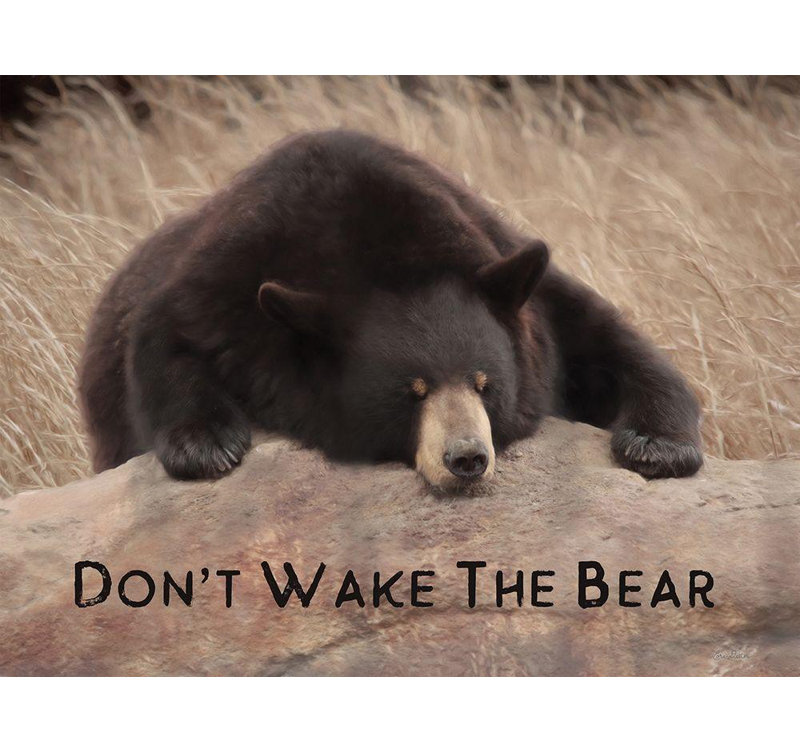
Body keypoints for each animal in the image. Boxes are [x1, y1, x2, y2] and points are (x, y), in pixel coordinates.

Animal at [78, 129, 703, 490]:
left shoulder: (517, 277)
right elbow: (168, 336)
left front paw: (659, 446)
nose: (467, 459)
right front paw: (207, 446)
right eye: (413, 391)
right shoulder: (228, 276)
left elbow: (604, 339)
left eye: (485, 384)